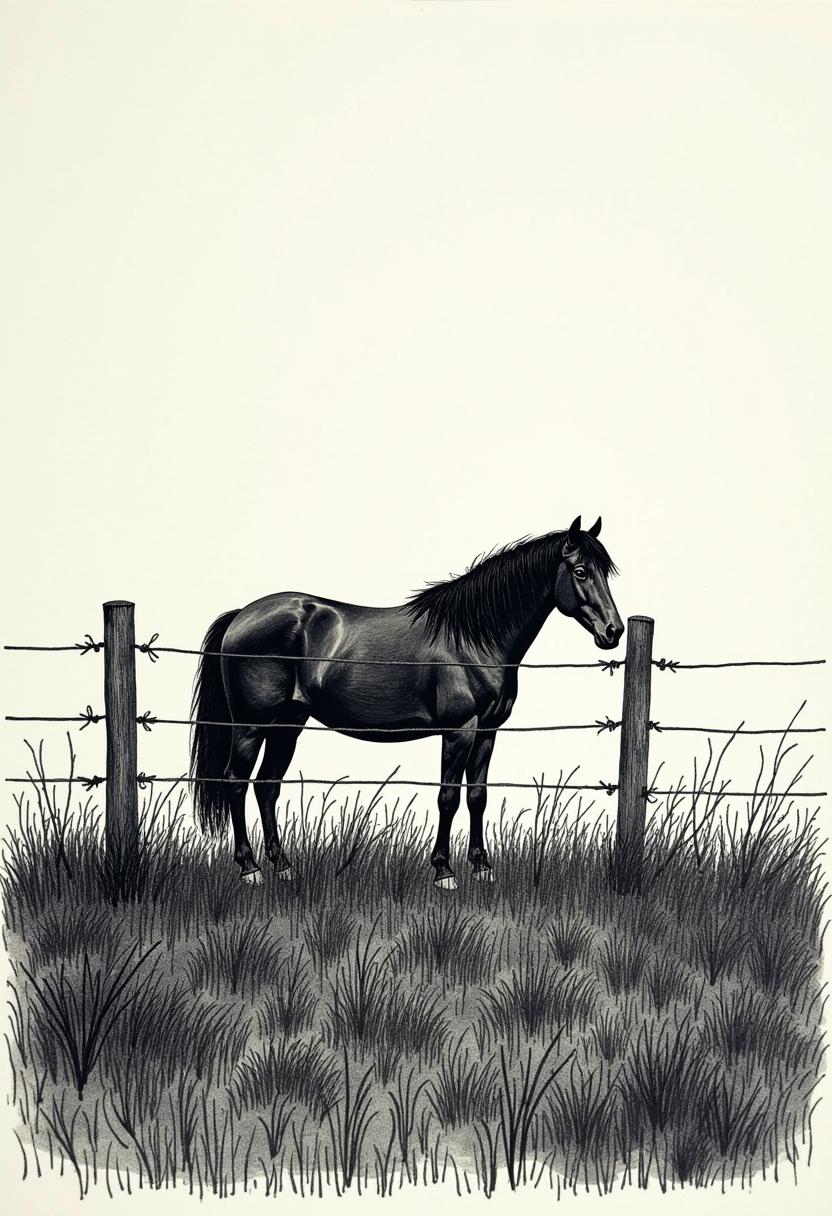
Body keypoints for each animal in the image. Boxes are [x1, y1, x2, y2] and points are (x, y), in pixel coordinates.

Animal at [189, 515, 623, 889]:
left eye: (604, 572)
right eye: (580, 571)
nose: (613, 631)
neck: (471, 638)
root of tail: (242, 615)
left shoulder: (487, 731)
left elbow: (477, 796)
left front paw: (482, 868)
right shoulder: (459, 731)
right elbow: (448, 797)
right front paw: (444, 872)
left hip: (288, 724)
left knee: (267, 786)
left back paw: (283, 866)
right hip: (250, 725)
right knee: (235, 782)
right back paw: (250, 869)